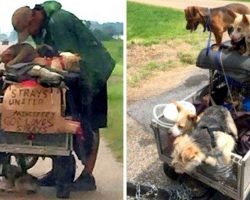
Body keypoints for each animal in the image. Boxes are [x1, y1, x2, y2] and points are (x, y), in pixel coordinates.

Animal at [151, 43, 250, 200]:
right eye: (173, 159)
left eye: (180, 164)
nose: (173, 167)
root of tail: (218, 105)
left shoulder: (225, 142)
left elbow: (224, 156)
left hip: (231, 126)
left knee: (234, 134)